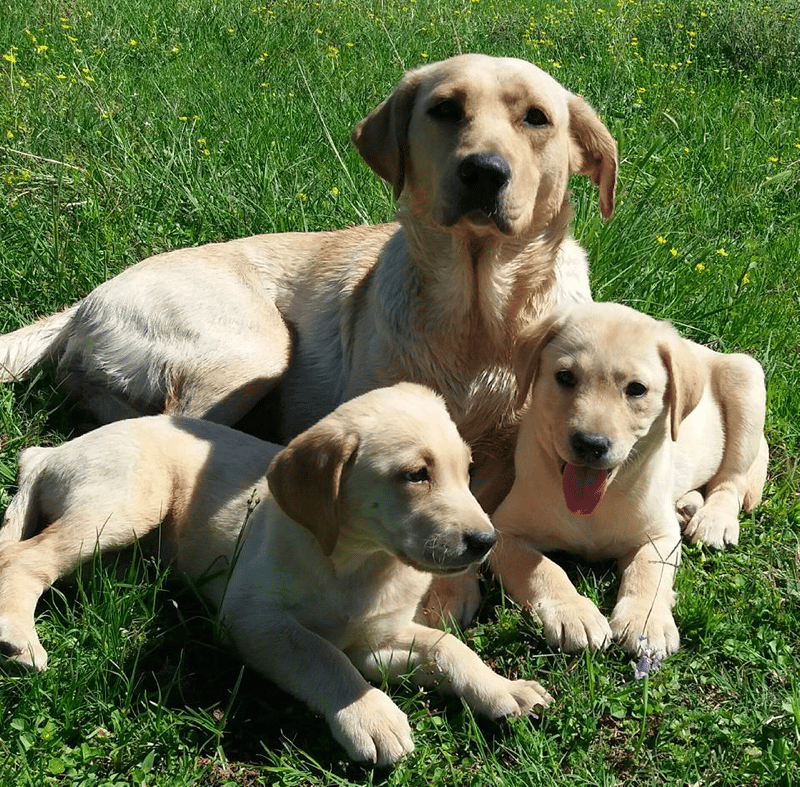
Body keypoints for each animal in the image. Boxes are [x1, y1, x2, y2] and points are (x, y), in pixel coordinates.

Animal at [0, 384, 552, 768]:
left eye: (468, 471)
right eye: (416, 475)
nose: (486, 542)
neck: (360, 563)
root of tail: (49, 453)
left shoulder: (374, 641)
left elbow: (447, 646)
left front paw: (504, 690)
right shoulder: (253, 618)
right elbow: (322, 656)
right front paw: (372, 717)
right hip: (129, 503)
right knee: (23, 560)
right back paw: (19, 639)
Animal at [490, 302, 764, 660]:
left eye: (636, 389)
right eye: (565, 377)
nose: (590, 444)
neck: (595, 503)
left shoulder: (659, 536)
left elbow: (647, 571)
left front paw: (646, 623)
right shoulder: (501, 533)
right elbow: (540, 568)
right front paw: (574, 614)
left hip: (747, 377)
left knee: (731, 479)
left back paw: (713, 520)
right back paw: (686, 505)